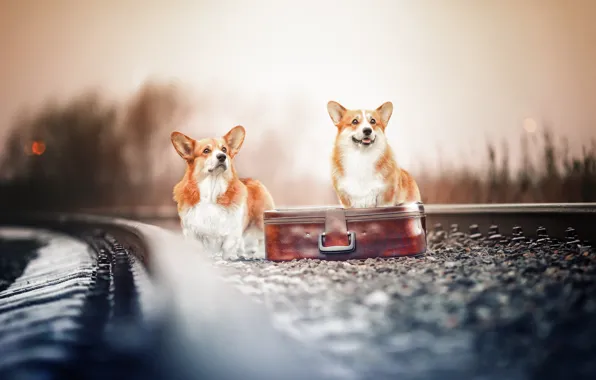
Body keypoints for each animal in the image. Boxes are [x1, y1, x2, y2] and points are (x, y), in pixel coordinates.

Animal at [170, 126, 274, 260]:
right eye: (206, 150)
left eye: (224, 149)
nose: (222, 156)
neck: (212, 190)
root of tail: (253, 180)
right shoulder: (191, 230)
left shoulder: (233, 228)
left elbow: (228, 246)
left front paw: (229, 258)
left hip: (260, 220)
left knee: (261, 238)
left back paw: (258, 254)